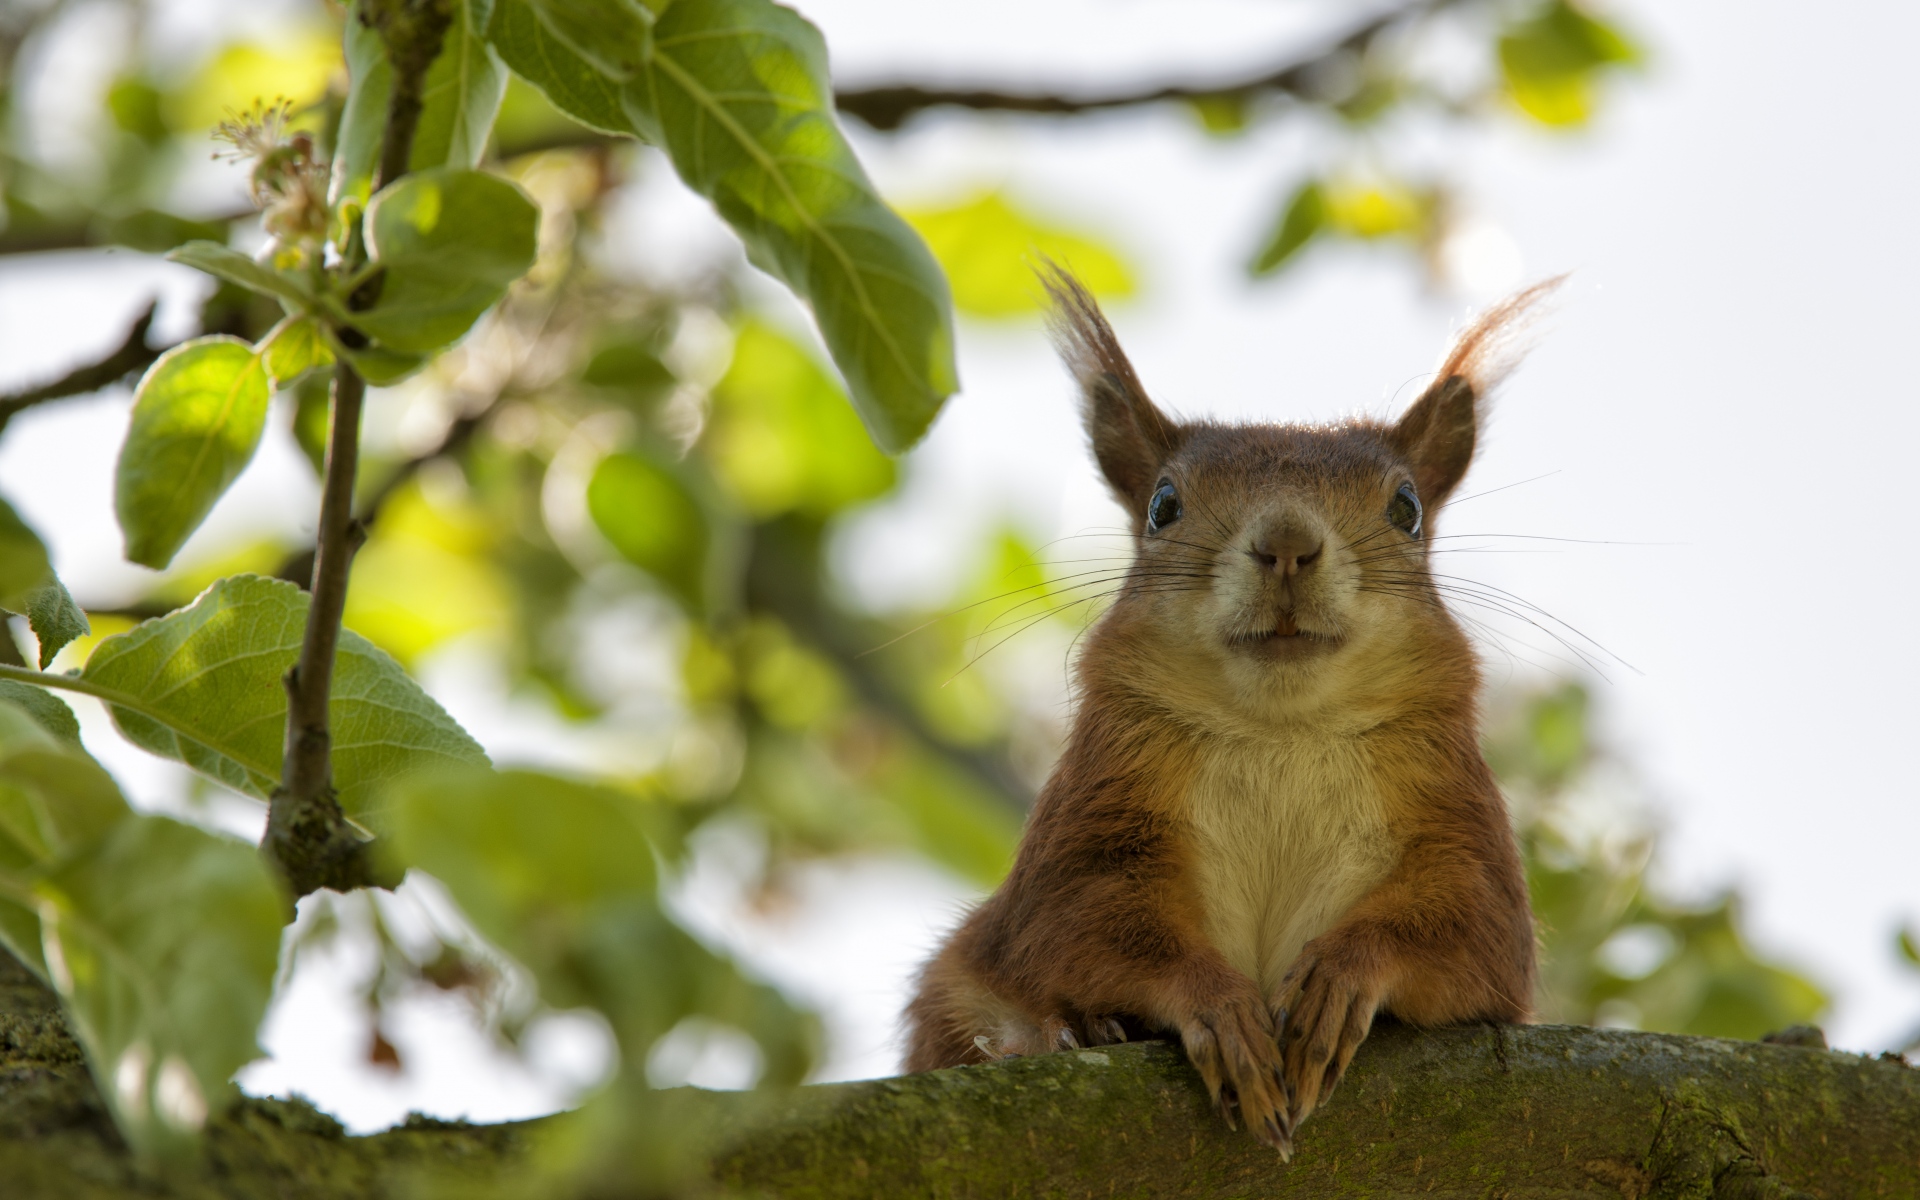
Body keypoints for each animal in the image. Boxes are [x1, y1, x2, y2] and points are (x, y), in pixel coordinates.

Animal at [902, 267, 1556, 1157]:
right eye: (1162, 506)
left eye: (1408, 508)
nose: (1286, 543)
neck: (1280, 730)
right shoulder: (1091, 825)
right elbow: (1077, 928)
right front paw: (1219, 1010)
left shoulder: (1460, 831)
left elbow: (1474, 936)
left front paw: (1337, 980)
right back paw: (1072, 1033)